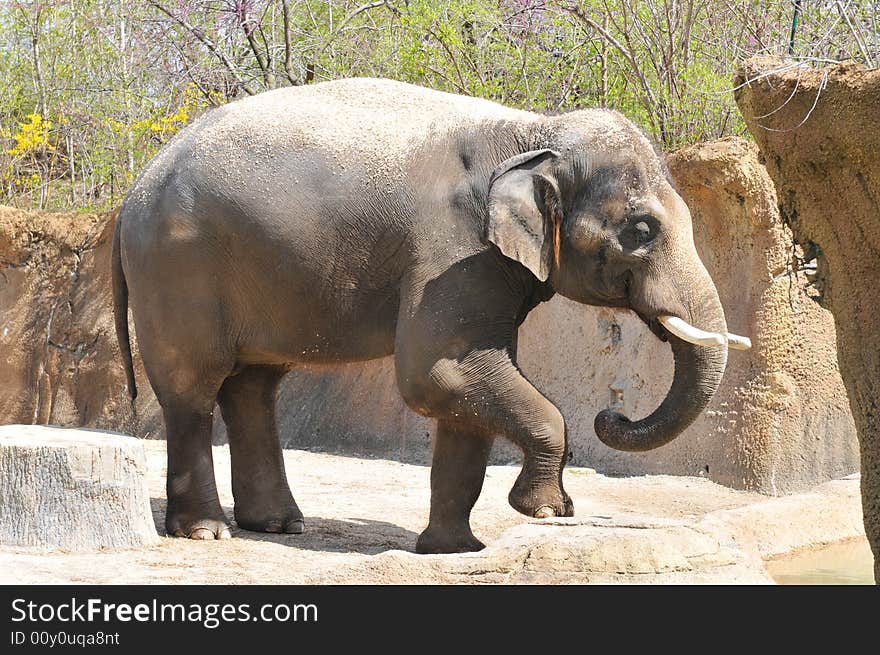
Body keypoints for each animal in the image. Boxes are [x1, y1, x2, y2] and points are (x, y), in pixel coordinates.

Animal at [111, 77, 748, 552]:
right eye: (641, 231)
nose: (610, 414)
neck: (534, 130)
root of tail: (131, 192)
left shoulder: (484, 266)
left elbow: (463, 389)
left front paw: (453, 550)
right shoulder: (452, 253)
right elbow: (437, 375)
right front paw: (544, 511)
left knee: (253, 386)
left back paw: (279, 525)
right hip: (177, 268)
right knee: (194, 387)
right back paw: (206, 532)